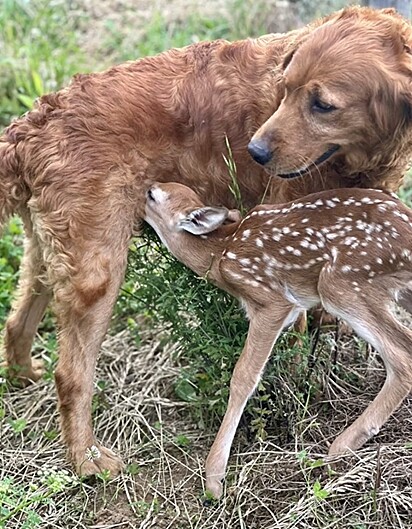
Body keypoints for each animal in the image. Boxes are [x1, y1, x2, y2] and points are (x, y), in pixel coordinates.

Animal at [0, 7, 412, 474]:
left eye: (322, 105)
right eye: (284, 89)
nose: (254, 153)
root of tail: (32, 127)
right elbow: (289, 339)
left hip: (51, 251)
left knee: (17, 321)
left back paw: (22, 376)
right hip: (97, 271)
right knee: (72, 376)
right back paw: (88, 461)